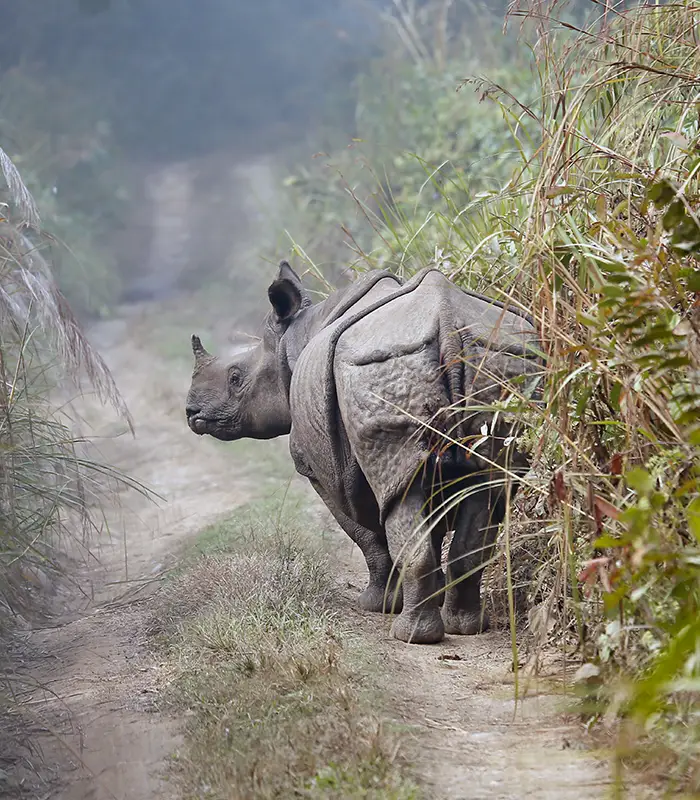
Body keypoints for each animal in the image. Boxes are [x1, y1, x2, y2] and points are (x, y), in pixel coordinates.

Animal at [186, 261, 541, 644]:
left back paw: (411, 635)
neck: (292, 339)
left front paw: (377, 604)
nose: (191, 412)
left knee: (406, 497)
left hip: (380, 368)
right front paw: (430, 593)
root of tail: (447, 321)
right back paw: (466, 626)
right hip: (502, 362)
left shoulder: (318, 468)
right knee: (488, 489)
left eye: (236, 379)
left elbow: (365, 532)